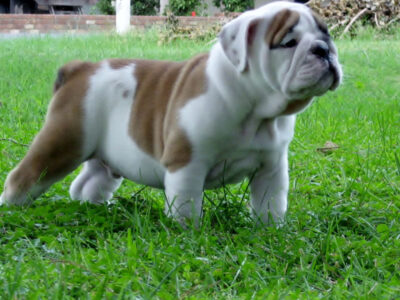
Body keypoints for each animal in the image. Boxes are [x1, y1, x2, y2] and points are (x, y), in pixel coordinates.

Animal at [1, 1, 342, 225]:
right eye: (288, 42)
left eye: (326, 34)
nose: (324, 49)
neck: (255, 109)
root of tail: (79, 69)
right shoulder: (187, 163)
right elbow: (187, 204)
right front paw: (188, 233)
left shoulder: (271, 167)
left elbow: (270, 202)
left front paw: (269, 231)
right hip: (63, 141)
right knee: (23, 177)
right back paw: (11, 210)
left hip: (104, 157)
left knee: (88, 182)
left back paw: (97, 208)